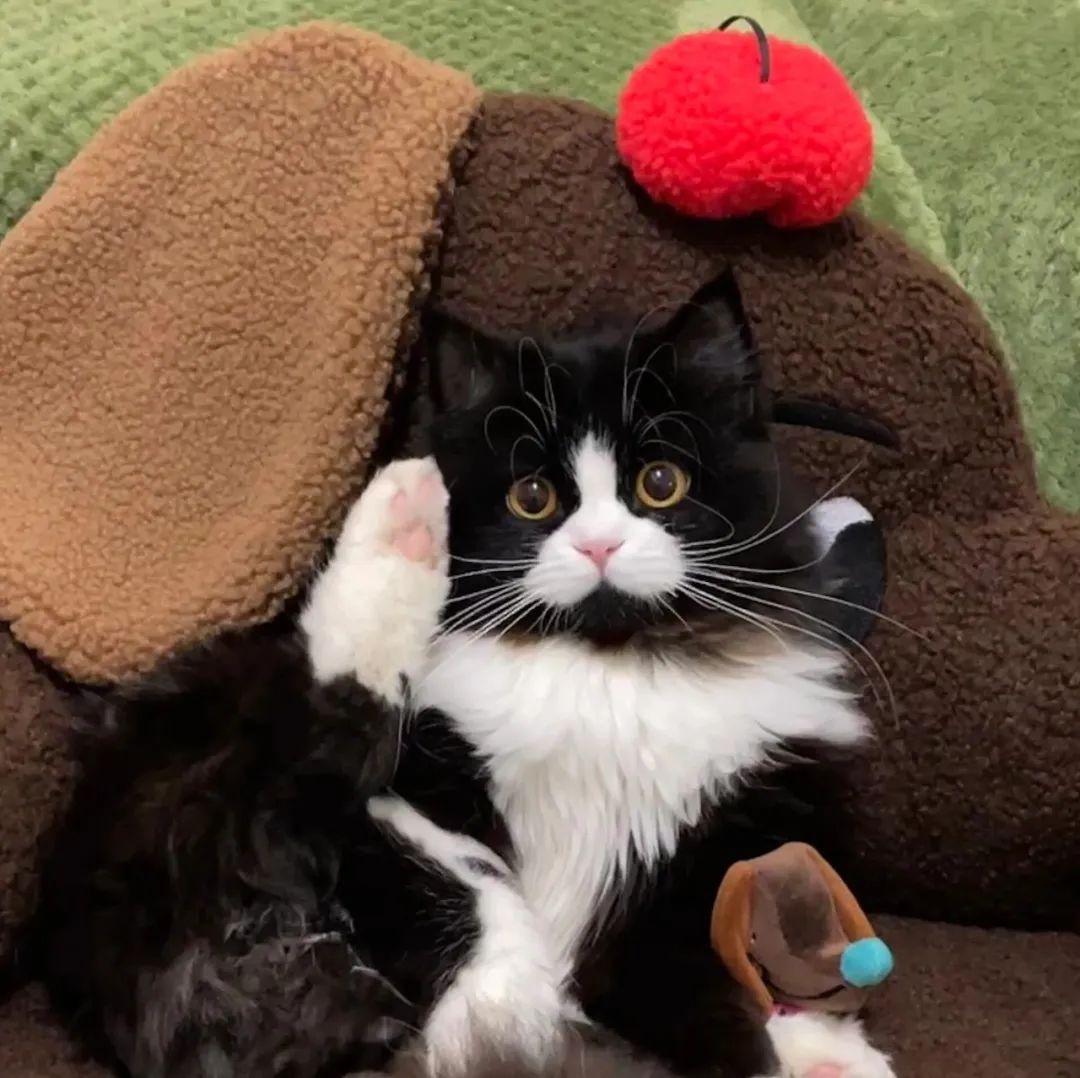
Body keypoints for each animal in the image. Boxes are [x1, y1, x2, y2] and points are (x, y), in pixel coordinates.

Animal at [28, 272, 895, 1078]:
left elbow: (712, 971)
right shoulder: (405, 805)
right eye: (533, 497)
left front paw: (816, 1051)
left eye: (660, 484)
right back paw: (405, 509)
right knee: (325, 714)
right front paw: (512, 1010)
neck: (606, 665)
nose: (600, 547)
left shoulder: (706, 856)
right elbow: (480, 892)